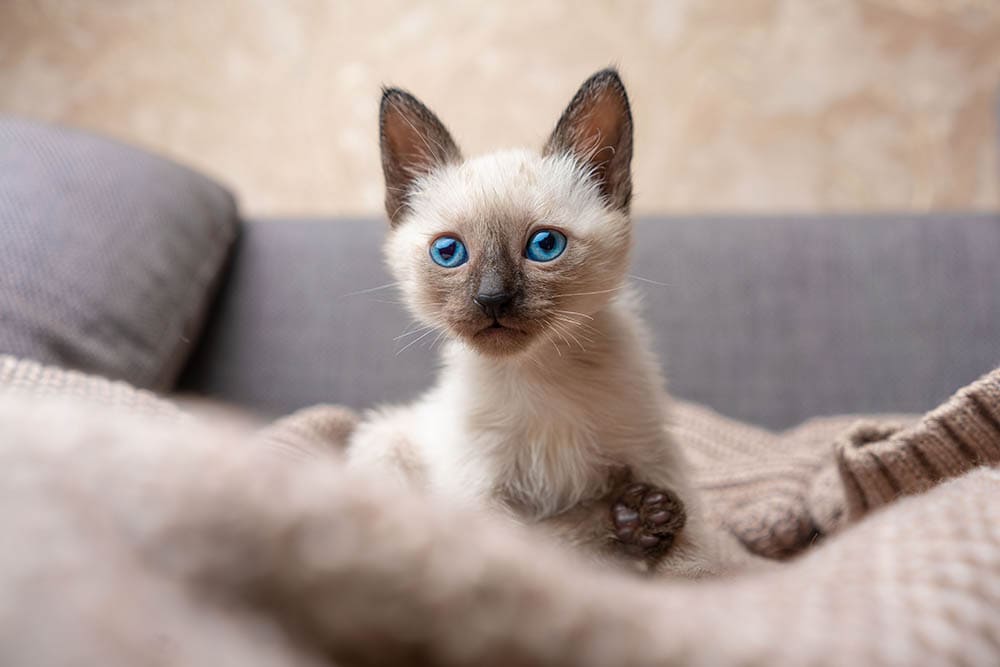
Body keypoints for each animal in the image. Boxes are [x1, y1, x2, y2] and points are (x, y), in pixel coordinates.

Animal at [348, 69, 716, 576]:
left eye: (545, 246)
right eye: (449, 252)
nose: (492, 299)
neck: (540, 373)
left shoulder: (655, 457)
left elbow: (692, 561)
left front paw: (646, 527)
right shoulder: (480, 493)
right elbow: (542, 546)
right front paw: (625, 528)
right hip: (384, 445)